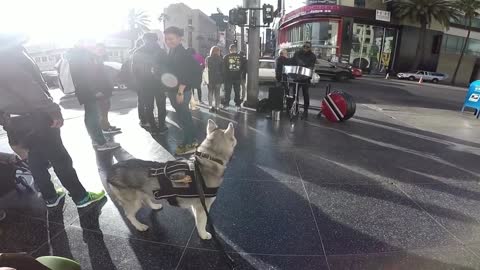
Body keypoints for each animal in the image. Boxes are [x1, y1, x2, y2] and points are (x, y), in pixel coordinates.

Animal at [108, 120, 237, 240]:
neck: (209, 160)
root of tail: (112, 169)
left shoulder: (196, 206)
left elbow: (198, 220)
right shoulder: (202, 206)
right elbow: (202, 222)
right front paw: (204, 234)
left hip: (144, 192)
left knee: (147, 199)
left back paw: (155, 206)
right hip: (133, 202)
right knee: (129, 215)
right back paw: (139, 226)